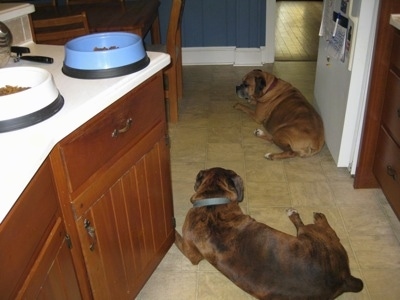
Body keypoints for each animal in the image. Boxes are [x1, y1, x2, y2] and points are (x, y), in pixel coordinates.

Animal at [175, 168, 362, 298]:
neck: (213, 204)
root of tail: (344, 277)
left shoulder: (191, 252)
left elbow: (175, 237)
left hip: (308, 233)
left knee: (319, 228)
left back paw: (314, 216)